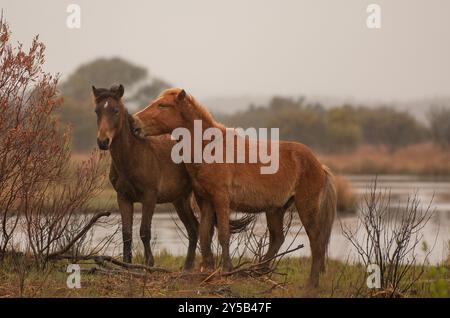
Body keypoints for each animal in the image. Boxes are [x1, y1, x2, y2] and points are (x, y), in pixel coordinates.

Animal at [132, 87, 336, 286]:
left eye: (163, 105)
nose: (134, 124)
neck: (209, 147)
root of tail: (319, 166)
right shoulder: (205, 200)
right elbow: (204, 234)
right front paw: (207, 269)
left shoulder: (221, 199)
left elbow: (223, 234)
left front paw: (226, 270)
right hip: (275, 209)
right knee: (278, 238)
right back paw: (259, 270)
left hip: (306, 207)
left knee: (316, 243)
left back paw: (311, 284)